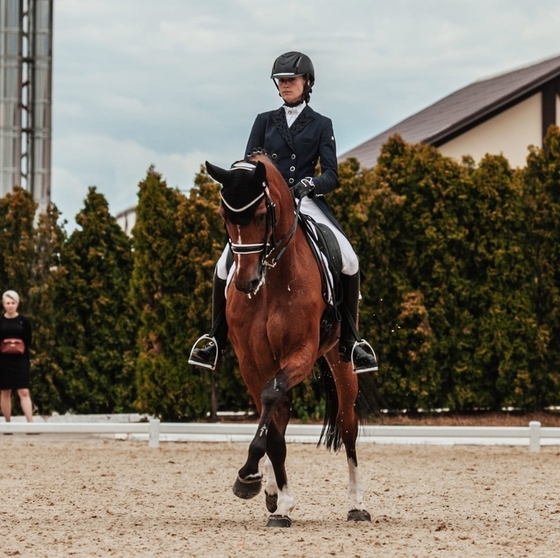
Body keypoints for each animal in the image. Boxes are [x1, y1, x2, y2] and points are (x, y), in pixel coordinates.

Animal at [206, 153, 376, 528]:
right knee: (277, 417)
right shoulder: (251, 364)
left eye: (259, 214)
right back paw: (272, 491)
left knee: (347, 427)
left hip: (341, 362)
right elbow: (273, 430)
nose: (245, 282)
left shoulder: (300, 353)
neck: (272, 282)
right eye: (225, 216)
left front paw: (249, 477)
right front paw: (273, 496)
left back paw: (357, 505)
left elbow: (272, 405)